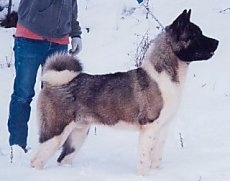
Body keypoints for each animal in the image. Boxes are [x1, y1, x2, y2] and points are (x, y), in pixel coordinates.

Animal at [31, 9, 218, 175]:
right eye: (196, 34)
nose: (217, 42)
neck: (165, 74)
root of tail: (53, 82)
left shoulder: (163, 129)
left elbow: (155, 159)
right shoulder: (148, 128)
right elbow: (144, 161)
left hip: (78, 134)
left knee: (62, 159)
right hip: (55, 133)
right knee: (36, 161)